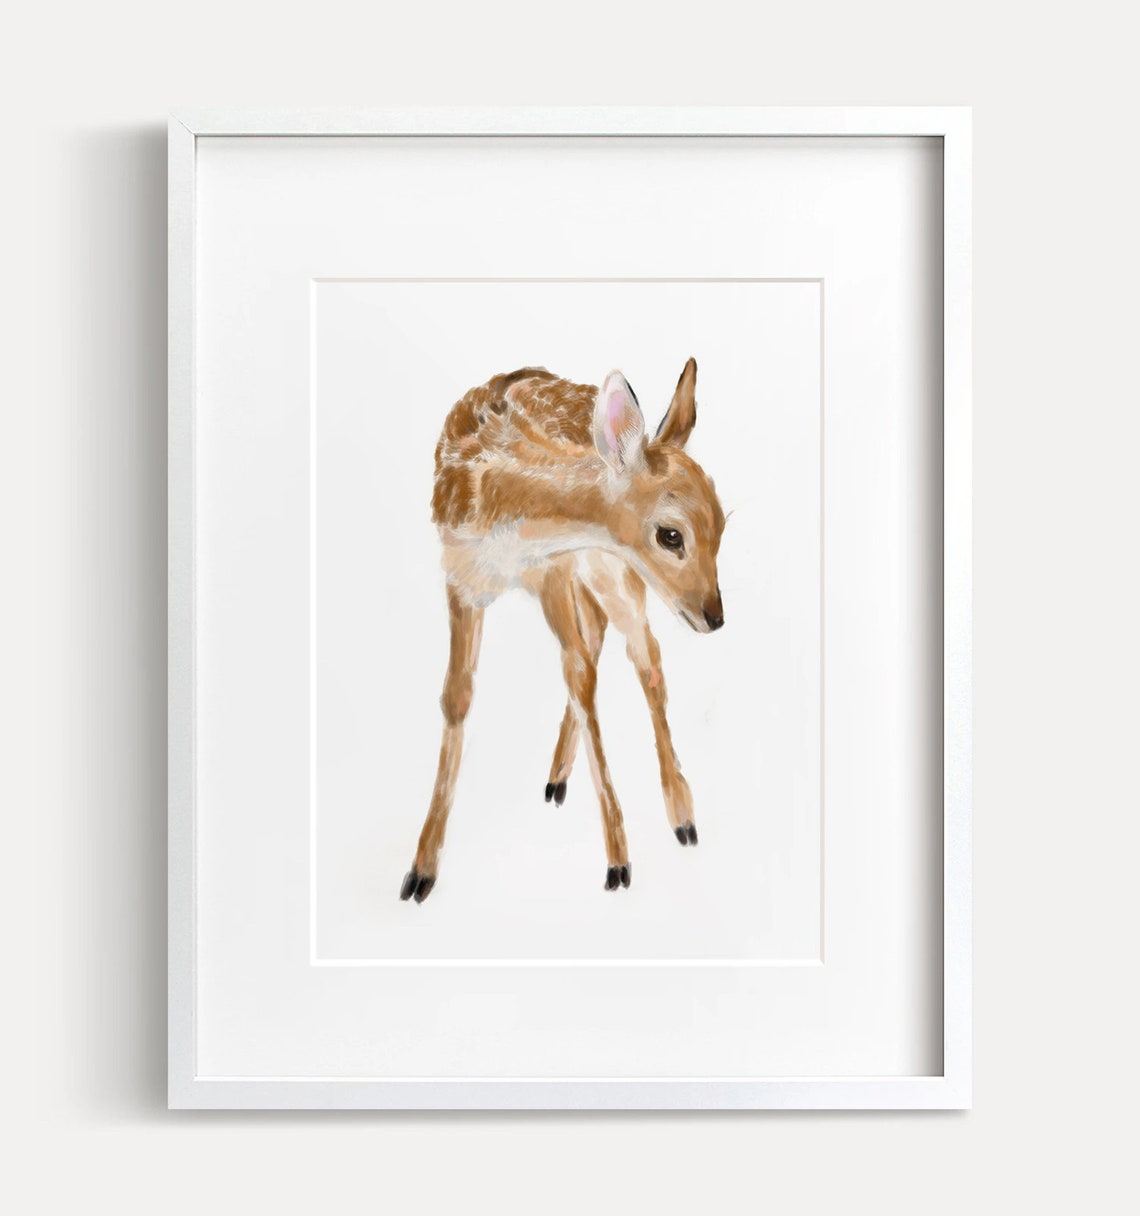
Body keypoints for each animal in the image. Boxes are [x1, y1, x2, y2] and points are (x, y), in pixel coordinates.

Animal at [399, 358, 726, 903]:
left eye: (723, 527)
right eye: (671, 535)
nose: (715, 616)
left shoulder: (556, 565)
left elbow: (582, 677)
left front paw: (619, 862)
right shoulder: (462, 577)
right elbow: (457, 696)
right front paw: (421, 870)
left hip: (610, 572)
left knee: (643, 657)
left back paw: (682, 817)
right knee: (598, 643)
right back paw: (557, 779)